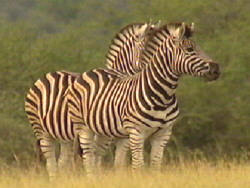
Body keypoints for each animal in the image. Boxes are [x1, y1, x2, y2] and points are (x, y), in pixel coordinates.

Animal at [23, 21, 156, 178]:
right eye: (148, 48)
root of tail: (45, 76)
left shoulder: (123, 137)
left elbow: (118, 163)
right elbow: (94, 160)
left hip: (64, 136)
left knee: (61, 161)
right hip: (41, 130)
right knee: (51, 162)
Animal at [67, 21, 221, 173]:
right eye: (189, 50)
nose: (216, 69)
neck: (163, 96)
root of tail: (89, 72)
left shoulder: (163, 134)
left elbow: (154, 166)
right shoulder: (136, 133)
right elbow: (138, 166)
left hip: (102, 130)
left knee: (96, 153)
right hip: (83, 127)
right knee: (88, 156)